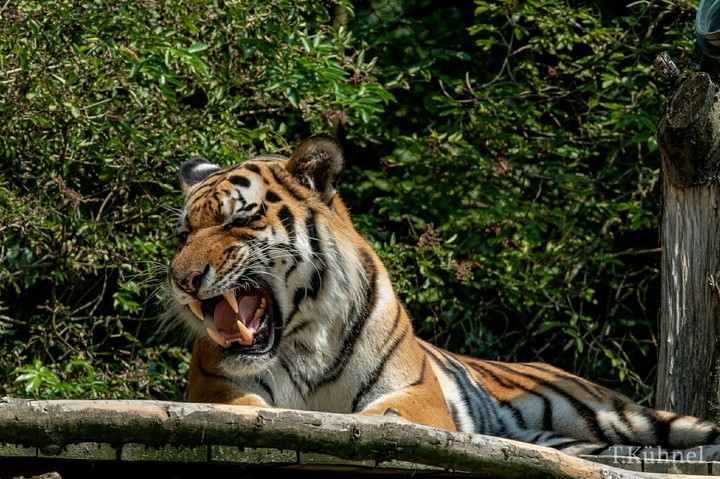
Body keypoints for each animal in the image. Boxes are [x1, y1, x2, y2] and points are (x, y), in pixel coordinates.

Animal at [166, 133, 720, 460]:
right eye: (183, 234)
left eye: (238, 220)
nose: (182, 280)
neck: (305, 338)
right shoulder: (216, 388)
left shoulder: (417, 392)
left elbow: (381, 418)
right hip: (575, 438)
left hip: (618, 414)